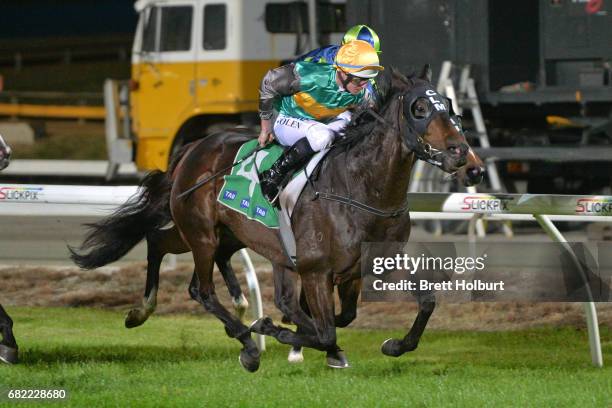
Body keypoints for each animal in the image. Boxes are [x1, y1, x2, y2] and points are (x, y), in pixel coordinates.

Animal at [71, 67, 482, 370]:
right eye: (419, 109)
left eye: (450, 107)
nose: (463, 156)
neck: (361, 189)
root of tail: (192, 148)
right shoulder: (316, 271)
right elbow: (326, 329)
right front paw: (278, 331)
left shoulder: (374, 262)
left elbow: (414, 304)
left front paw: (393, 344)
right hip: (201, 232)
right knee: (201, 290)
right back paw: (248, 346)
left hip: (220, 233)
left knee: (159, 242)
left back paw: (141, 312)